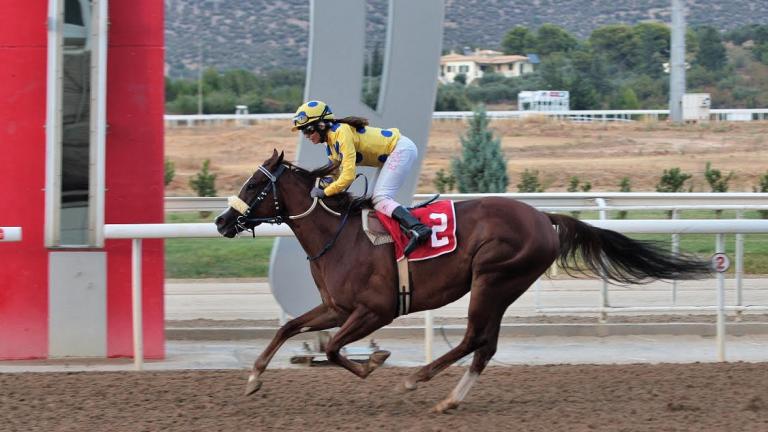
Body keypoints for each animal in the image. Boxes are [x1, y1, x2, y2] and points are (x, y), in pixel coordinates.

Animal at [214, 150, 708, 414]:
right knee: (486, 346)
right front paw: (254, 379)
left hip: (493, 277)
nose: (221, 222)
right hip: (502, 286)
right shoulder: (337, 306)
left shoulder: (376, 310)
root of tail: (544, 218)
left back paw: (419, 380)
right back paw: (449, 399)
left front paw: (374, 363)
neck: (340, 236)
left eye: (255, 184)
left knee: (474, 338)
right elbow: (289, 327)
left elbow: (335, 348)